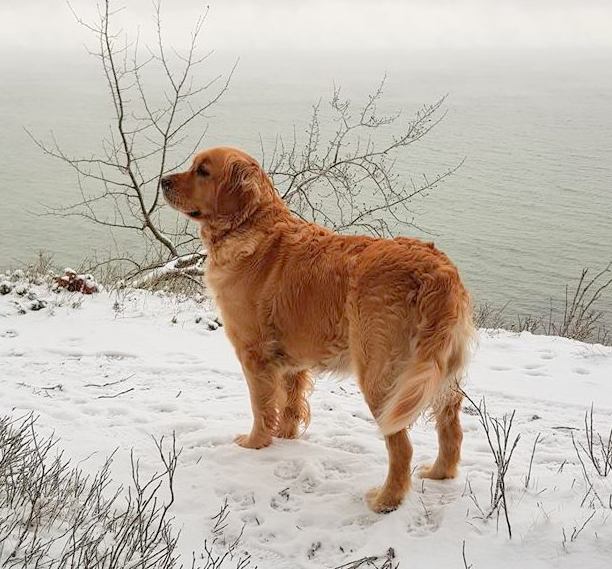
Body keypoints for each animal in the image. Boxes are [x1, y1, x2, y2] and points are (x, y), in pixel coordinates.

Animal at [162, 146, 473, 512]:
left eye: (203, 171)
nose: (163, 181)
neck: (250, 227)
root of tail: (437, 271)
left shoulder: (254, 354)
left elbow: (261, 406)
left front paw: (254, 443)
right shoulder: (290, 358)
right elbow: (290, 403)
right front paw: (284, 437)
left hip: (382, 377)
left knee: (402, 447)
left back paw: (386, 499)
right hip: (440, 374)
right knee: (451, 428)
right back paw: (440, 473)